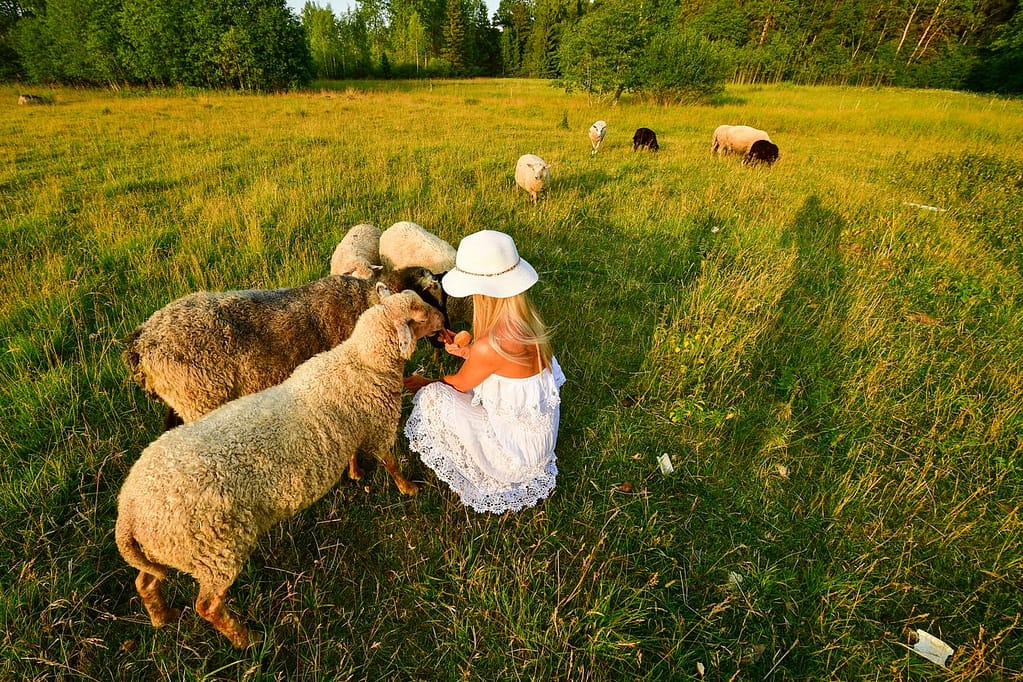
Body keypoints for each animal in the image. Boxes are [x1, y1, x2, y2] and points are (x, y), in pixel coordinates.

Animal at [115, 289, 445, 648]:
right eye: (420, 317)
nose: (444, 321)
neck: (360, 360)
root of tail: (128, 511)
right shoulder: (381, 423)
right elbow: (390, 461)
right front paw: (408, 488)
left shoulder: (354, 427)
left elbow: (355, 454)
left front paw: (356, 472)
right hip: (214, 553)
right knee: (207, 605)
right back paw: (245, 639)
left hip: (164, 550)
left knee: (145, 581)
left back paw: (162, 617)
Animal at [123, 267, 443, 430]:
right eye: (424, 300)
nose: (444, 332)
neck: (365, 303)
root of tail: (141, 340)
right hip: (200, 398)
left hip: (181, 400)